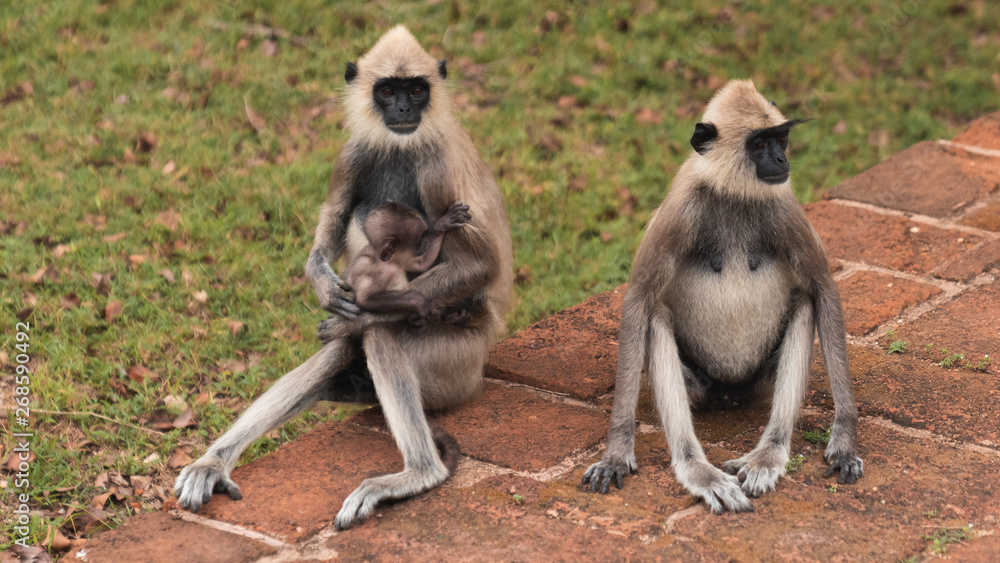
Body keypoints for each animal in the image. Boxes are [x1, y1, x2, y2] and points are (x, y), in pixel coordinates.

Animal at [172, 26, 512, 532]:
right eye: (388, 91)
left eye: (416, 90)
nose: (404, 110)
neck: (402, 145)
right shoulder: (355, 151)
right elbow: (335, 213)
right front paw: (321, 281)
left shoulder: (436, 165)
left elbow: (479, 265)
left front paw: (349, 316)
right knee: (342, 345)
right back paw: (214, 462)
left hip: (455, 365)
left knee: (378, 333)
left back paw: (419, 472)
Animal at [584, 80, 864, 516]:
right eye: (760, 143)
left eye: (781, 139)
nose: (781, 158)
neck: (733, 193)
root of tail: (730, 395)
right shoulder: (681, 207)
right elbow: (639, 299)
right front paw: (616, 453)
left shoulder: (783, 204)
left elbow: (823, 288)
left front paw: (844, 442)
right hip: (700, 384)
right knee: (657, 315)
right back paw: (697, 470)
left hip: (760, 381)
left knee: (804, 303)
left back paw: (768, 454)